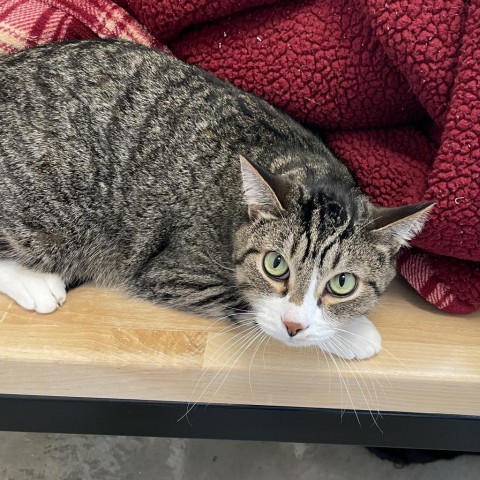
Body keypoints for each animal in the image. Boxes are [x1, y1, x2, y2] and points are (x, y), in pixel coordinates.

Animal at [0, 38, 434, 360]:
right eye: (276, 265)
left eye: (342, 283)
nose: (296, 325)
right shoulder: (173, 273)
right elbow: (252, 307)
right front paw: (354, 333)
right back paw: (37, 284)